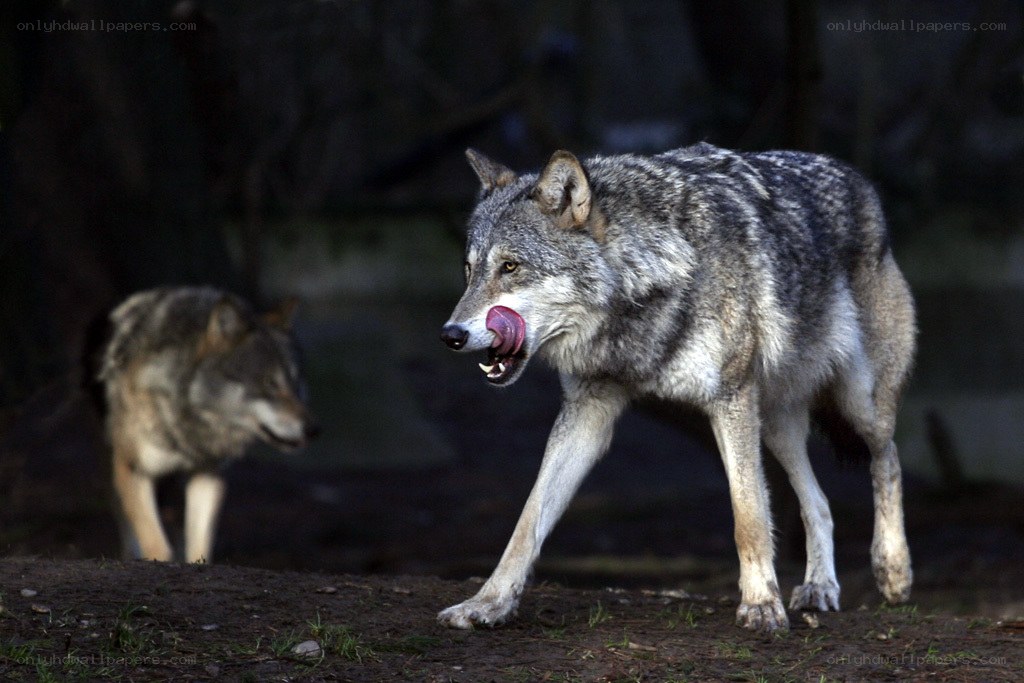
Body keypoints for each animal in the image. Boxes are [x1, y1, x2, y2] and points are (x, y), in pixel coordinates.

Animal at [98, 286, 316, 563]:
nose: (313, 430)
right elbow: (157, 545)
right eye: (270, 384)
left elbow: (199, 548)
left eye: (296, 383)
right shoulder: (133, 469)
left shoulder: (208, 475)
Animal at [438, 143, 916, 633]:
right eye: (469, 271)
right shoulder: (587, 412)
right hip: (776, 425)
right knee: (818, 503)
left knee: (889, 458)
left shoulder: (730, 400)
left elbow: (748, 515)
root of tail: (854, 176)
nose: (451, 334)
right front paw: (488, 602)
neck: (645, 279)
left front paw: (761, 604)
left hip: (858, 404)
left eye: (510, 267)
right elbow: (528, 519)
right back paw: (820, 586)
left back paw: (893, 571)